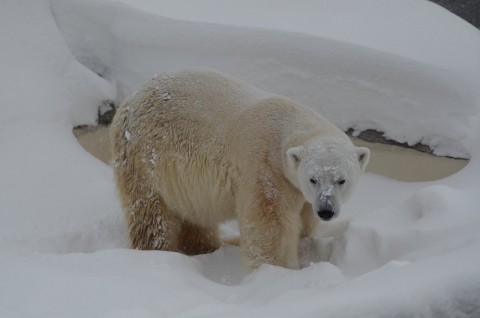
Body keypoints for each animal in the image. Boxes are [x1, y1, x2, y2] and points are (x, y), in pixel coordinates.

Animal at [110, 67, 370, 268]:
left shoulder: (298, 189)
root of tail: (129, 101)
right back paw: (159, 251)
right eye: (313, 179)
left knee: (194, 216)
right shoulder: (265, 167)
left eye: (341, 180)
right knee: (152, 215)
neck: (287, 124)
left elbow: (304, 219)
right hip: (147, 159)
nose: (326, 210)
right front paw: (278, 271)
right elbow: (270, 224)